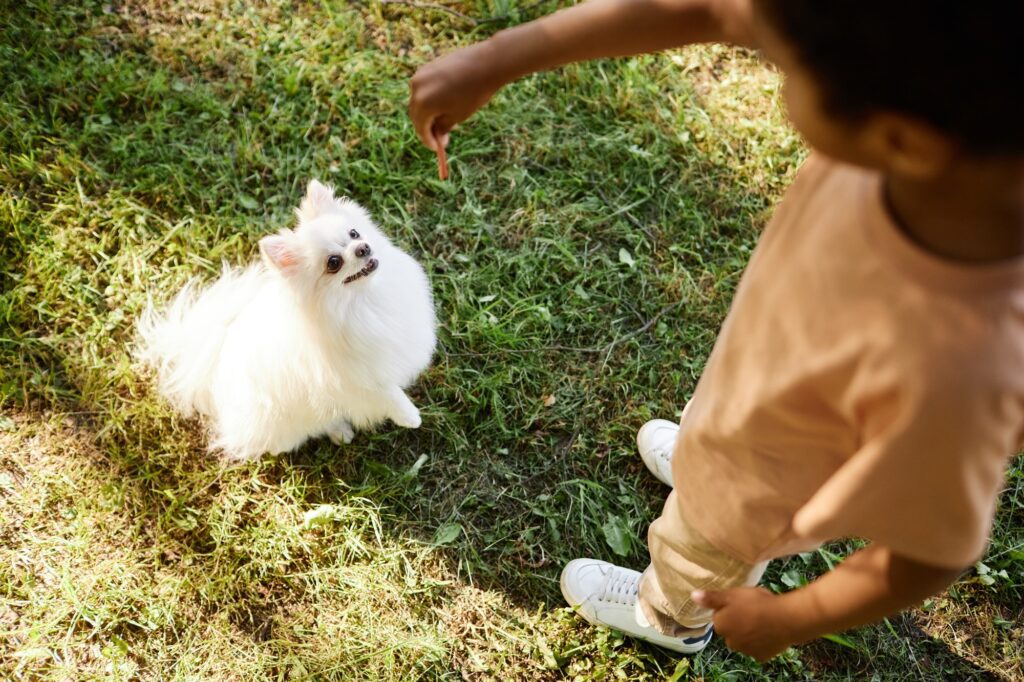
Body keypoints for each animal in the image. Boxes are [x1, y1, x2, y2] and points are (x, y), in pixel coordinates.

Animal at [137, 178, 436, 458]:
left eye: (354, 232)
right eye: (334, 263)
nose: (362, 248)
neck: (361, 299)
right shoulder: (355, 377)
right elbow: (387, 393)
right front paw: (409, 416)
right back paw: (339, 430)